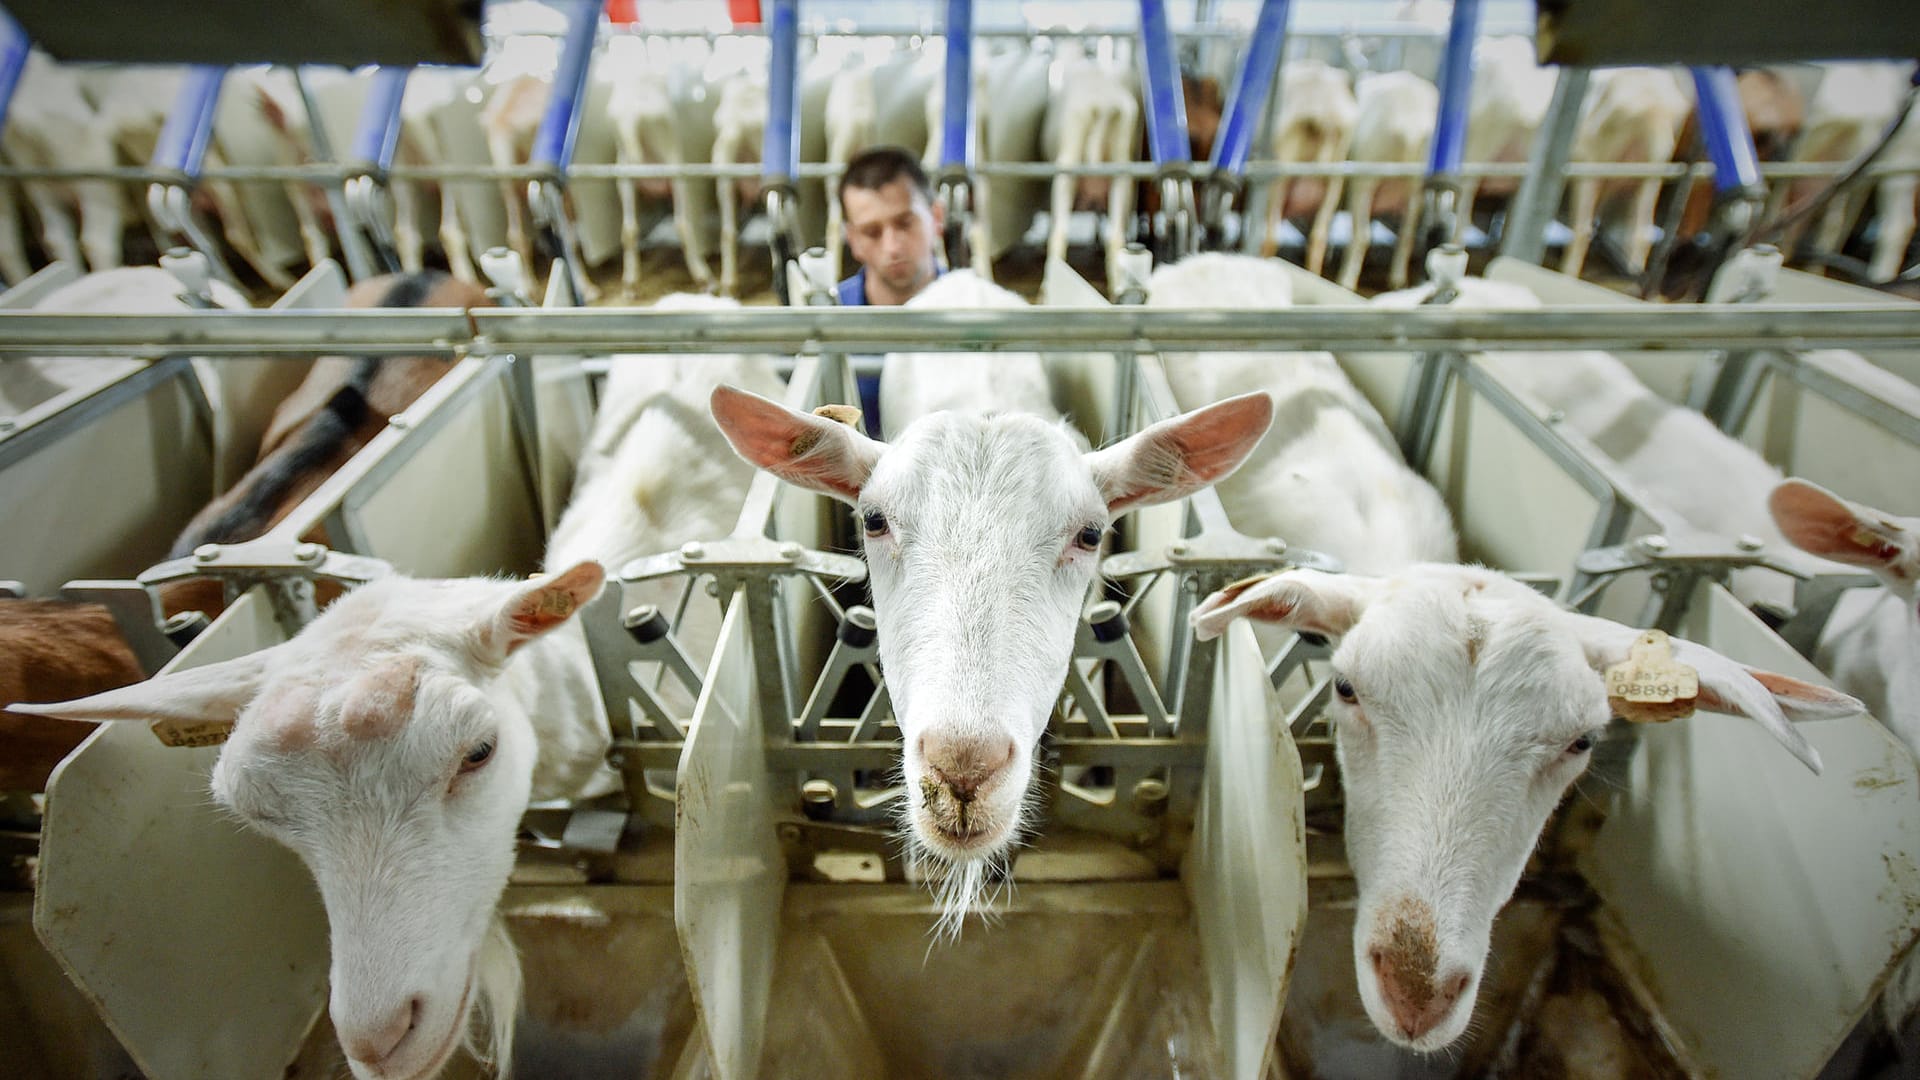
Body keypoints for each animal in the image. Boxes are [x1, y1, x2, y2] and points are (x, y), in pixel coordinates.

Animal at [1336, 69, 1443, 292]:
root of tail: (1412, 129)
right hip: (1416, 186)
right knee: (1407, 235)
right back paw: (1397, 280)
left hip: (1365, 178)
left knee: (1362, 235)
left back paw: (1346, 280)